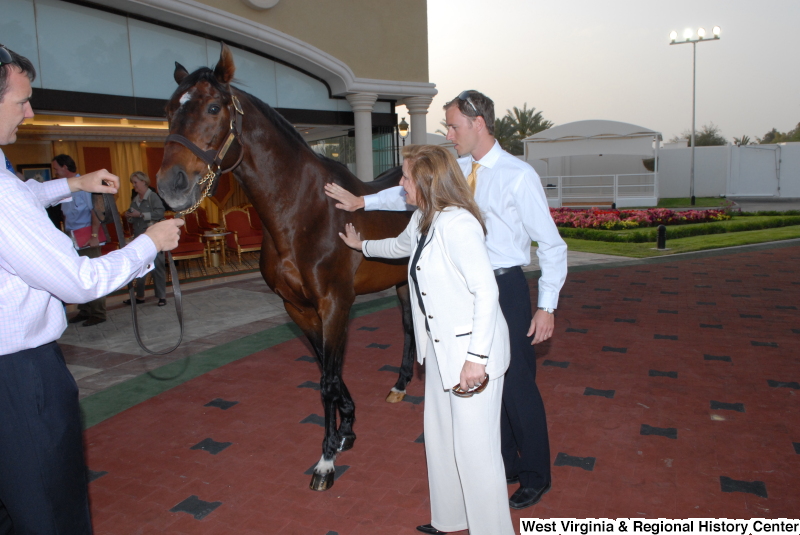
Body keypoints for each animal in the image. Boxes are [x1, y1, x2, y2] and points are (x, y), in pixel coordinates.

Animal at [155, 45, 418, 490]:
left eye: (212, 107)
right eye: (170, 109)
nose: (170, 184)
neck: (305, 212)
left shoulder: (334, 305)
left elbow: (327, 381)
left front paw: (326, 461)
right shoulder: (300, 309)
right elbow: (328, 374)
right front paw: (346, 430)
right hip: (401, 282)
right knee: (408, 328)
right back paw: (401, 384)